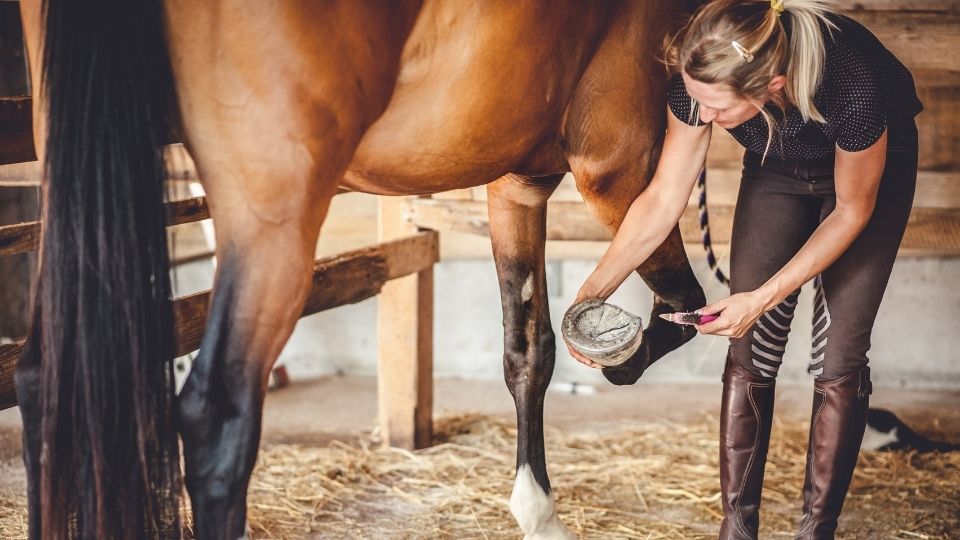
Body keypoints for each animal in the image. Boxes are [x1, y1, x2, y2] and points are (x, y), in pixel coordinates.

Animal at [15, 1, 706, 538]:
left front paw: (538, 514)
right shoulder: (620, 167)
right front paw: (626, 357)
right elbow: (683, 302)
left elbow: (528, 351)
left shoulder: (518, 186)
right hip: (271, 222)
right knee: (215, 424)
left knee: (42, 382)